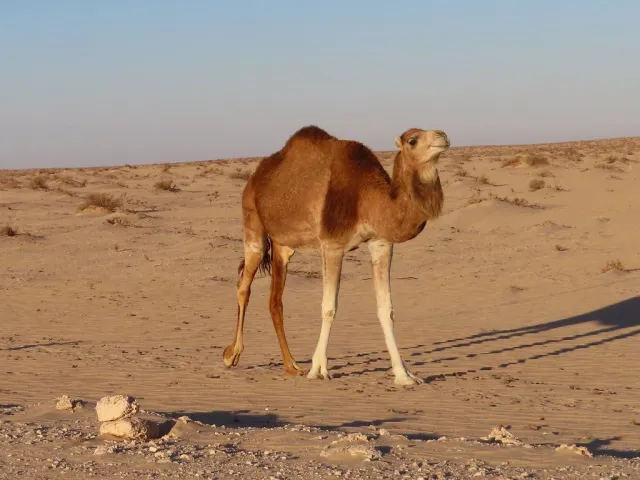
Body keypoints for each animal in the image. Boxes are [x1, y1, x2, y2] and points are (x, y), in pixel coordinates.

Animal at [223, 125, 450, 385]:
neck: (366, 199)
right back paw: (232, 355)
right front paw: (318, 369)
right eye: (413, 140)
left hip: (282, 244)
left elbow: (386, 309)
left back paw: (291, 365)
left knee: (275, 301)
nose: (443, 136)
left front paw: (404, 375)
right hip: (253, 226)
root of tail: (254, 180)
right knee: (244, 287)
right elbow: (329, 308)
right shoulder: (332, 245)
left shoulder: (381, 243)